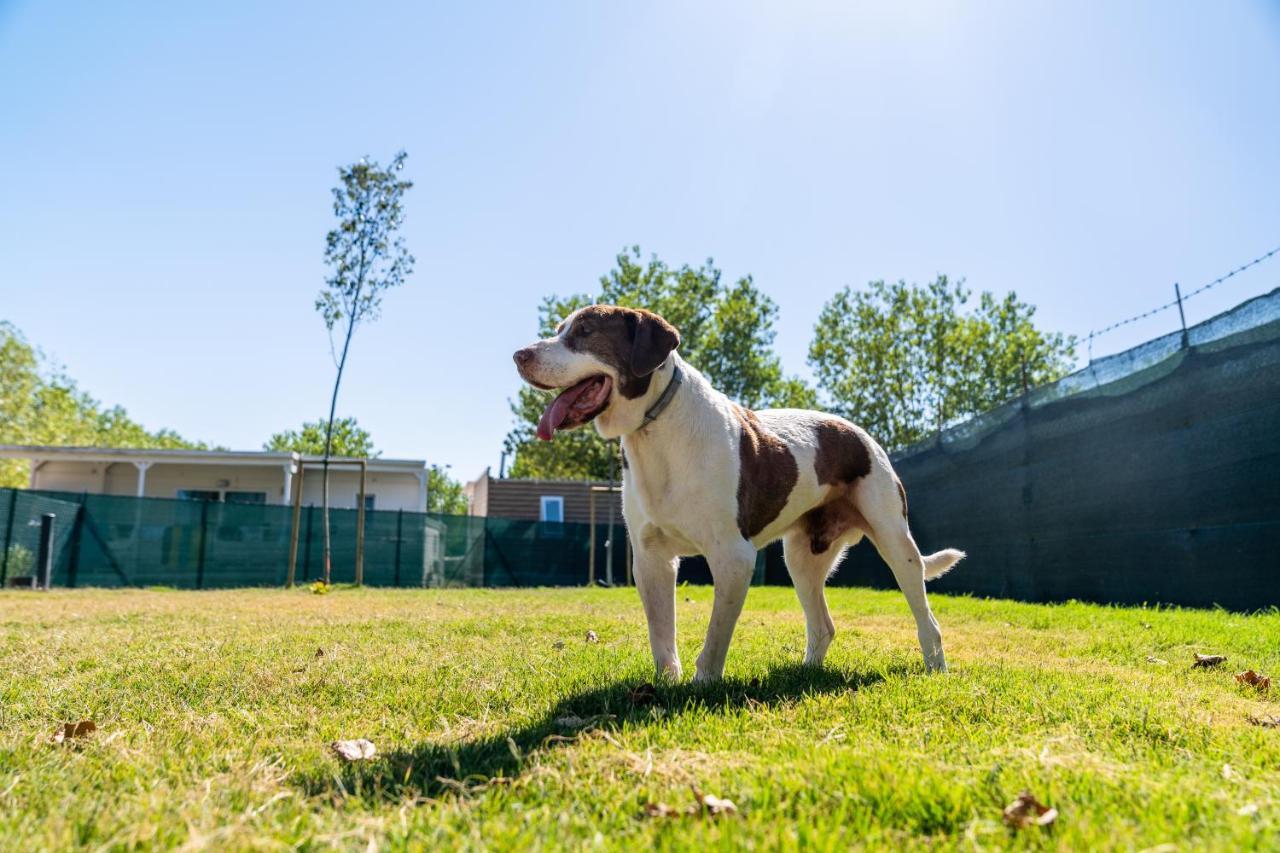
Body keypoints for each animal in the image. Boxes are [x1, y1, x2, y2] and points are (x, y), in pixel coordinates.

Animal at [509, 303, 962, 676]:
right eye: (560, 329)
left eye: (585, 330)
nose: (519, 355)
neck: (656, 429)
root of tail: (860, 433)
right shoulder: (652, 559)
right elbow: (661, 636)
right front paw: (665, 686)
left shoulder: (733, 558)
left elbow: (714, 640)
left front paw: (701, 686)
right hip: (801, 558)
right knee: (823, 625)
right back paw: (805, 675)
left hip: (895, 542)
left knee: (928, 619)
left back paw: (935, 669)